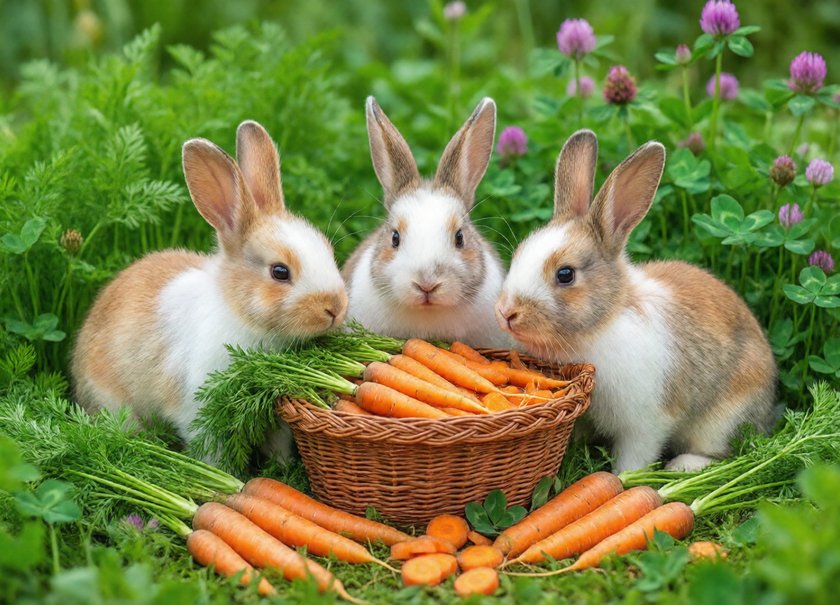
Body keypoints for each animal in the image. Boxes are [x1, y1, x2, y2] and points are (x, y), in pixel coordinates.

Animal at [72, 120, 348, 450]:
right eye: (280, 272)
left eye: (327, 249)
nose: (335, 308)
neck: (239, 314)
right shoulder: (197, 410)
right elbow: (213, 453)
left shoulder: (276, 420)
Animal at [495, 130, 776, 473]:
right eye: (519, 253)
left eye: (565, 274)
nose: (506, 312)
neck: (601, 325)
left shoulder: (646, 423)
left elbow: (635, 456)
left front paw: (621, 478)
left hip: (722, 421)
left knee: (721, 452)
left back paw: (682, 466)